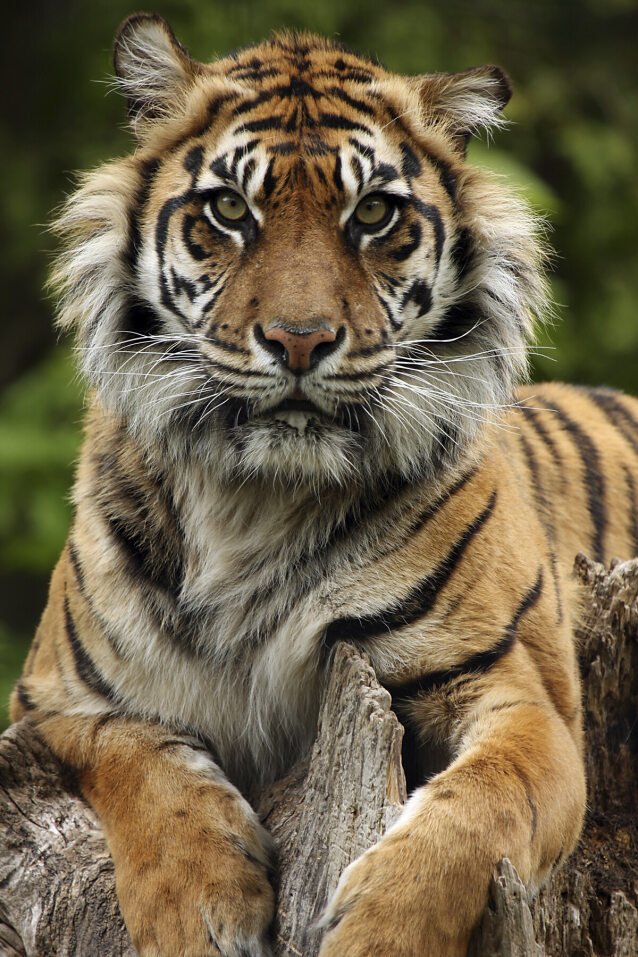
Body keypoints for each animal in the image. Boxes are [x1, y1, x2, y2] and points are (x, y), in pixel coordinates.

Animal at [10, 13, 638, 956]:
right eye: (230, 209)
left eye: (373, 212)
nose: (300, 339)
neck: (257, 500)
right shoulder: (56, 700)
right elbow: (141, 767)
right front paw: (199, 907)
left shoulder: (527, 696)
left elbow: (484, 806)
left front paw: (380, 930)